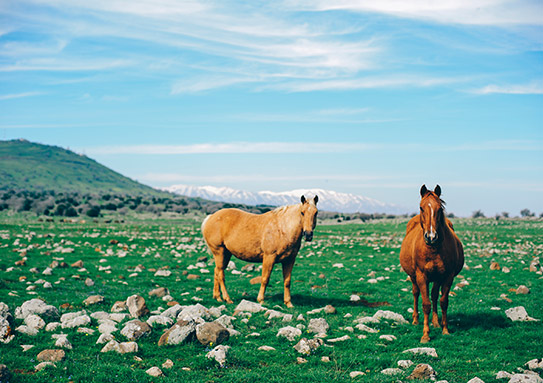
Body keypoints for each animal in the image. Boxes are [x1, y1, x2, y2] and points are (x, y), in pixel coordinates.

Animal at [400, 186, 464, 344]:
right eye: (421, 208)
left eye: (439, 208)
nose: (431, 237)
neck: (433, 249)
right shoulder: (421, 276)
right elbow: (426, 304)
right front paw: (425, 335)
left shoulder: (447, 277)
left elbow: (443, 301)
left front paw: (445, 330)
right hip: (413, 277)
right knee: (416, 293)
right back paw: (415, 320)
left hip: (437, 278)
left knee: (434, 295)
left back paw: (435, 322)